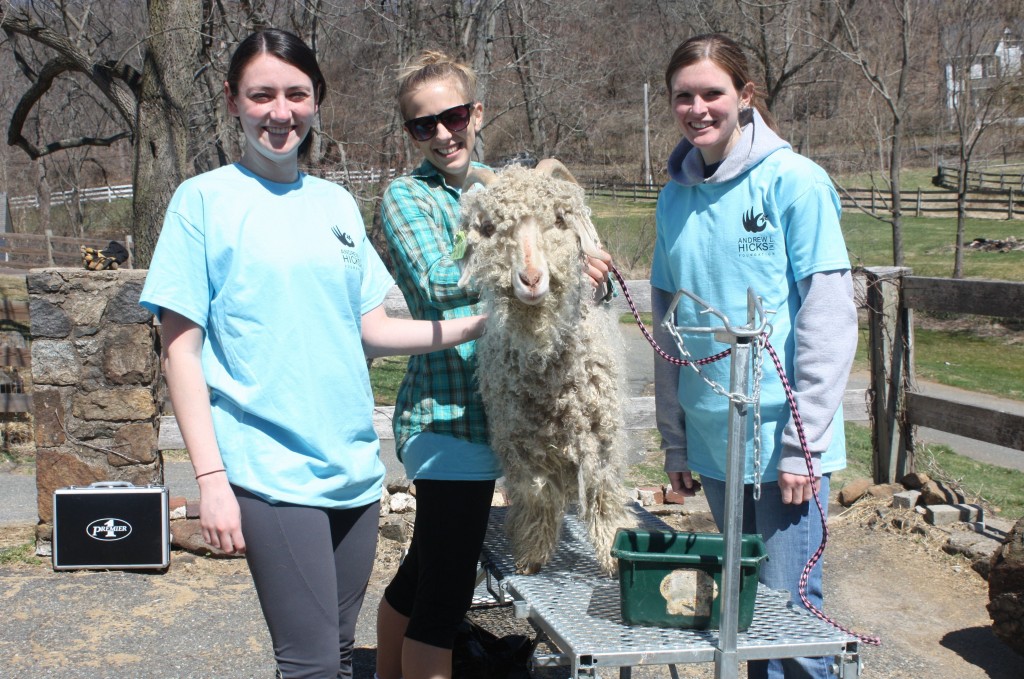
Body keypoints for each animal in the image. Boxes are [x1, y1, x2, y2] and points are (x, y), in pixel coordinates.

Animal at [458, 159, 630, 573]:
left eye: (558, 220)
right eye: (490, 229)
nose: (532, 279)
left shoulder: (602, 437)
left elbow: (603, 493)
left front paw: (611, 554)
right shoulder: (520, 442)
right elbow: (536, 495)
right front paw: (531, 557)